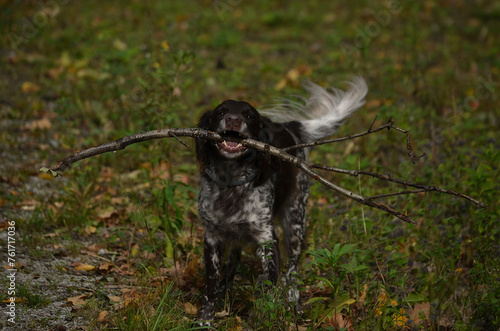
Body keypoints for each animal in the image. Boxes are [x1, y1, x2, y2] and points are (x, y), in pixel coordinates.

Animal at [195, 77, 368, 326]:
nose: (233, 120)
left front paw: (270, 316)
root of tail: (289, 127)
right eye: (221, 111)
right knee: (233, 262)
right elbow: (210, 286)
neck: (231, 184)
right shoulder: (212, 238)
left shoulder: (267, 239)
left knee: (292, 272)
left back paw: (294, 303)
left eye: (250, 116)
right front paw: (205, 320)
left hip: (295, 222)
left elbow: (272, 283)